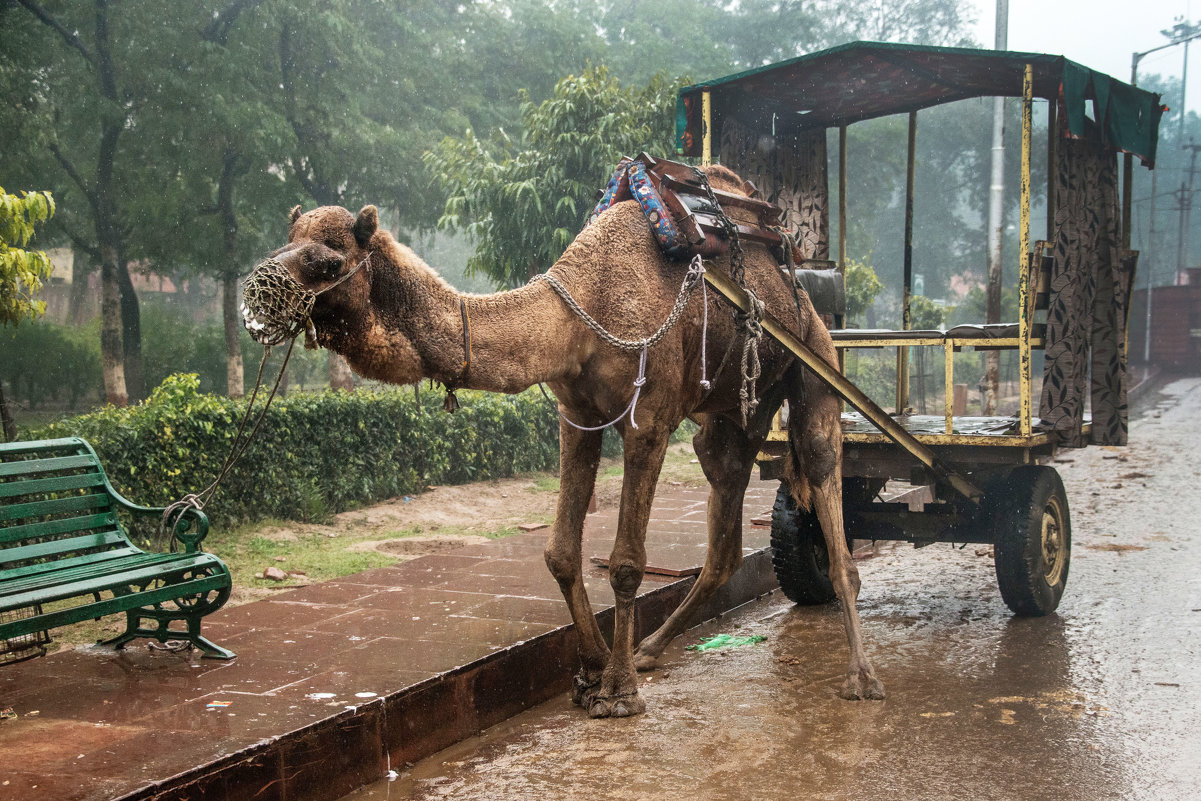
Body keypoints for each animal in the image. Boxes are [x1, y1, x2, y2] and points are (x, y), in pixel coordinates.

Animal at [243, 165, 883, 715]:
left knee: (824, 475)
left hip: (814, 362)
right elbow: (558, 552)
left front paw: (618, 692)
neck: (581, 307)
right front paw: (591, 671)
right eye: (283, 243)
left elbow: (625, 563)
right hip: (730, 417)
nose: (254, 292)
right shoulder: (575, 416)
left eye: (327, 260)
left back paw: (861, 676)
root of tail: (802, 283)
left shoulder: (649, 420)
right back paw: (651, 649)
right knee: (724, 515)